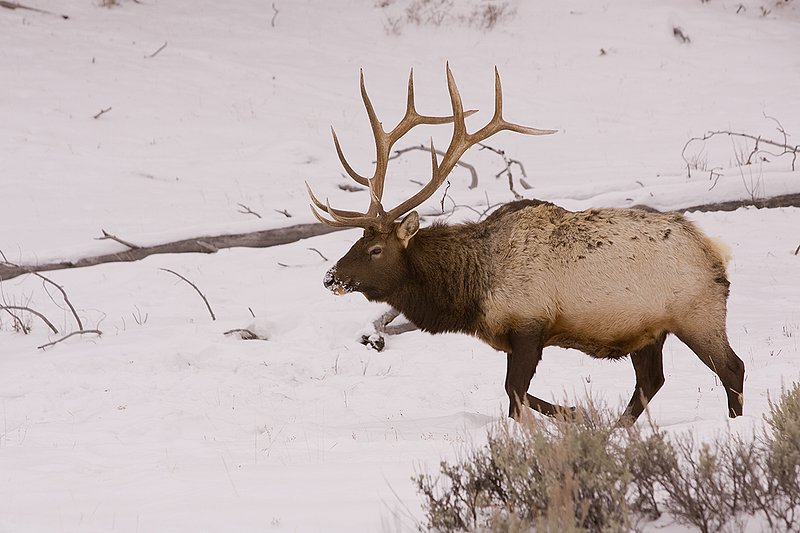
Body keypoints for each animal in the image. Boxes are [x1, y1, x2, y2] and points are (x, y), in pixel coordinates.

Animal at [306, 65, 745, 425]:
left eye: (375, 250)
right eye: (356, 241)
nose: (330, 277)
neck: (473, 291)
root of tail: (716, 251)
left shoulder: (529, 326)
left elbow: (514, 397)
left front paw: (563, 419)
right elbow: (520, 396)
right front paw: (575, 411)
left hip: (697, 314)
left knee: (732, 369)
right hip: (648, 331)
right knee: (651, 382)